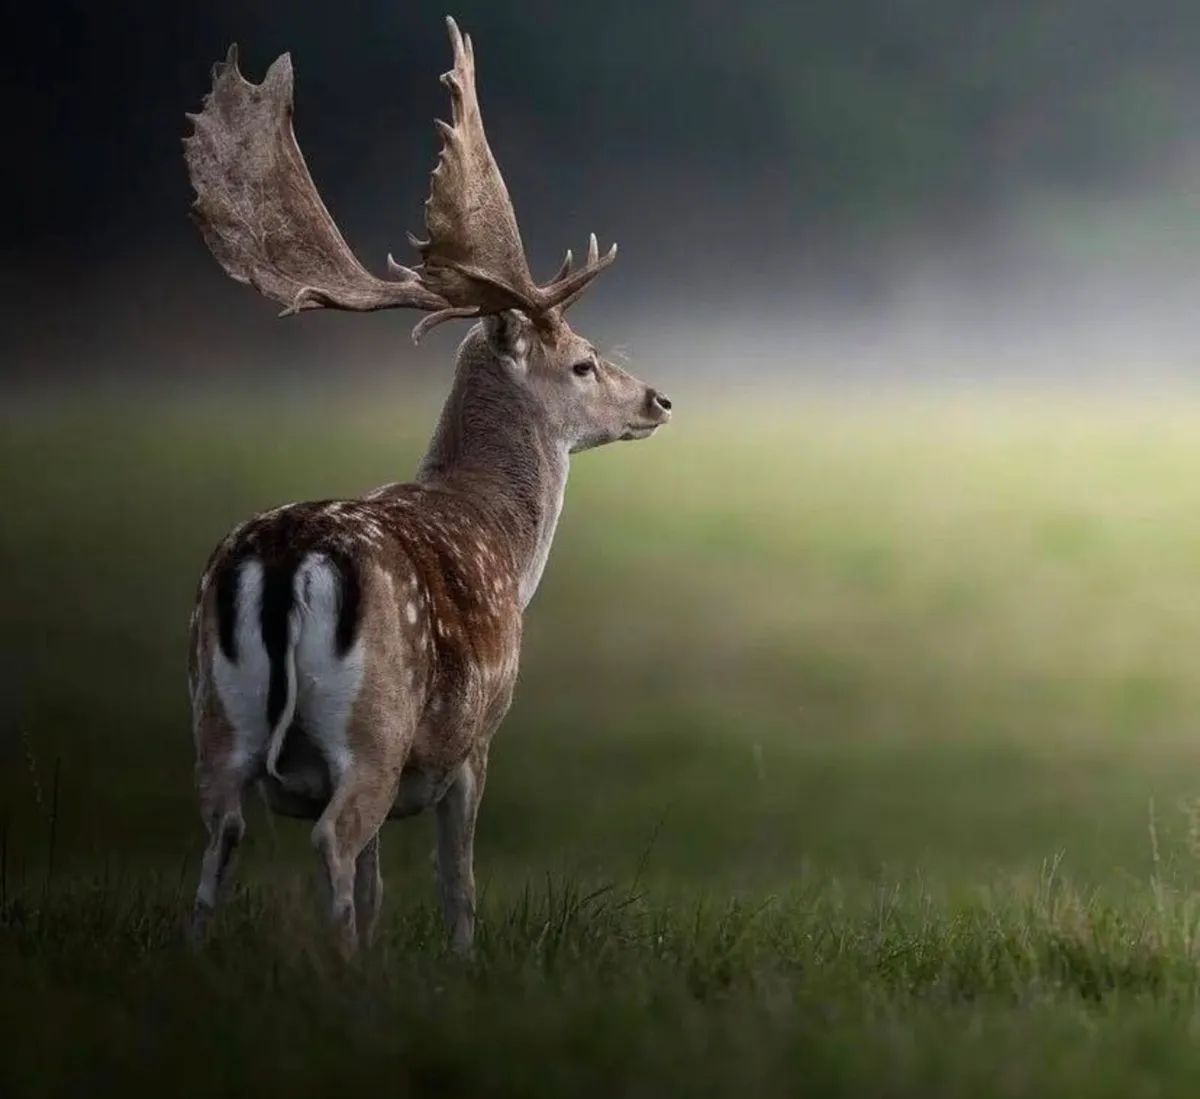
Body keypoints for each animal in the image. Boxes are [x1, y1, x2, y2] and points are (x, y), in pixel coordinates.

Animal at [182, 16, 672, 959]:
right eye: (583, 360)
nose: (657, 399)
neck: (506, 544)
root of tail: (283, 557)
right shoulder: (475, 736)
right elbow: (458, 878)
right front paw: (460, 964)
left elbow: (381, 883)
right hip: (373, 721)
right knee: (331, 838)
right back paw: (341, 972)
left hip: (214, 717)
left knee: (219, 836)